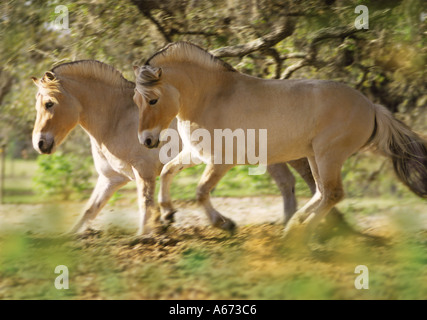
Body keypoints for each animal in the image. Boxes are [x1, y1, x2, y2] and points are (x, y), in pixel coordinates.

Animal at [30, 60, 318, 235]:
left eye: (49, 104)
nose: (40, 143)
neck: (116, 118)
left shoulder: (144, 174)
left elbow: (145, 206)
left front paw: (146, 235)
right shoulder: (111, 179)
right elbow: (90, 210)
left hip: (293, 154)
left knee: (309, 181)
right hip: (270, 158)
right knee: (288, 183)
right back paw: (290, 222)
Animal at [135, 42, 427, 241]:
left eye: (153, 100)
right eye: (137, 100)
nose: (146, 140)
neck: (211, 97)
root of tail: (371, 107)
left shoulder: (221, 162)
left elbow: (200, 191)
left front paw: (225, 224)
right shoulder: (197, 154)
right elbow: (167, 171)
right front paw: (167, 216)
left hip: (328, 155)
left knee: (332, 193)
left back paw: (301, 233)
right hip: (314, 156)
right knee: (321, 192)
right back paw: (293, 226)